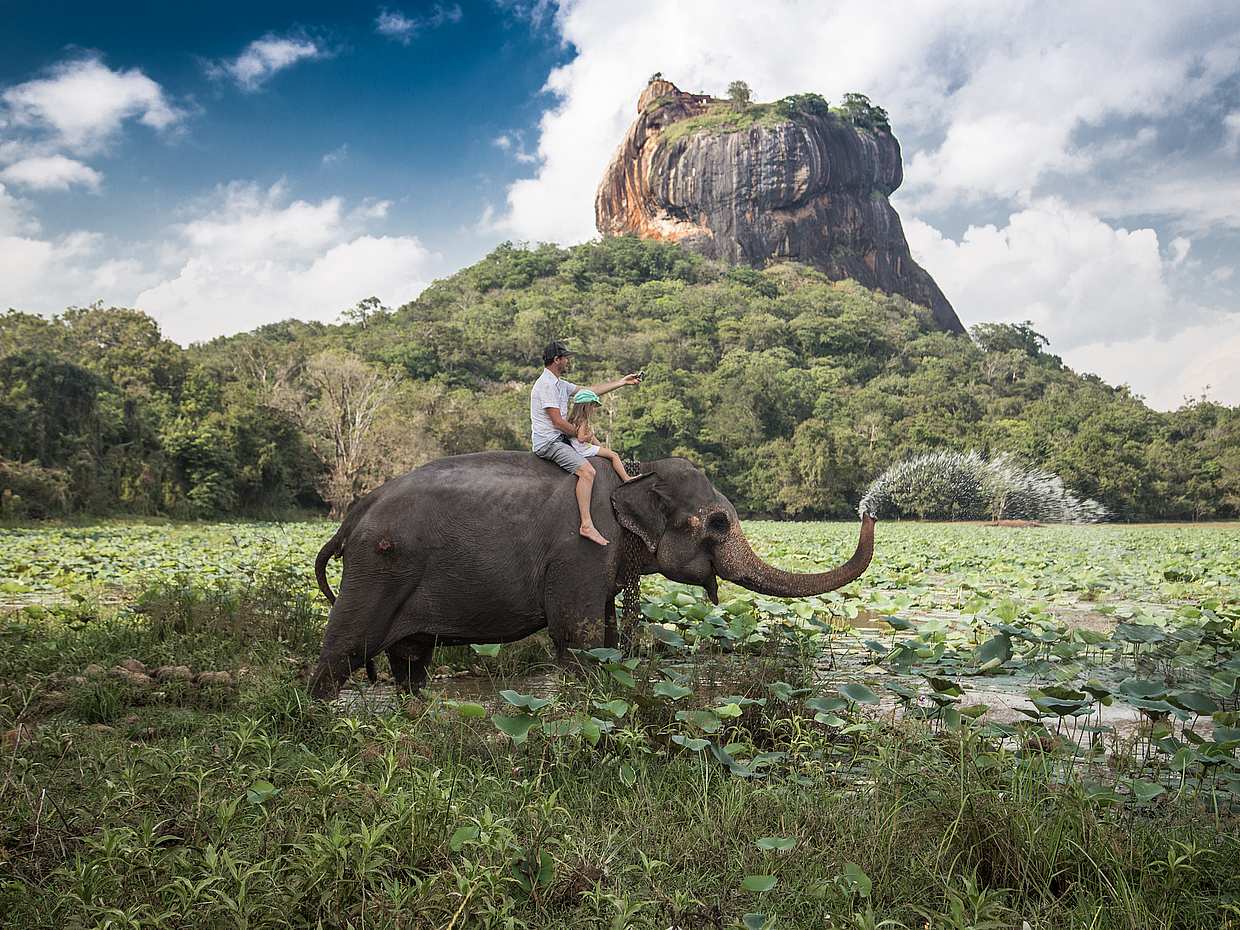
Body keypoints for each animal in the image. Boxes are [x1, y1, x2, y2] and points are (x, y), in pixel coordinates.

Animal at [309, 452, 876, 697]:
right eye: (717, 522)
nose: (869, 509)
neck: (634, 476)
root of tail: (352, 517)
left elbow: (604, 635)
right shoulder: (580, 551)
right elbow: (577, 638)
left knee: (411, 661)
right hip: (376, 569)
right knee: (343, 650)